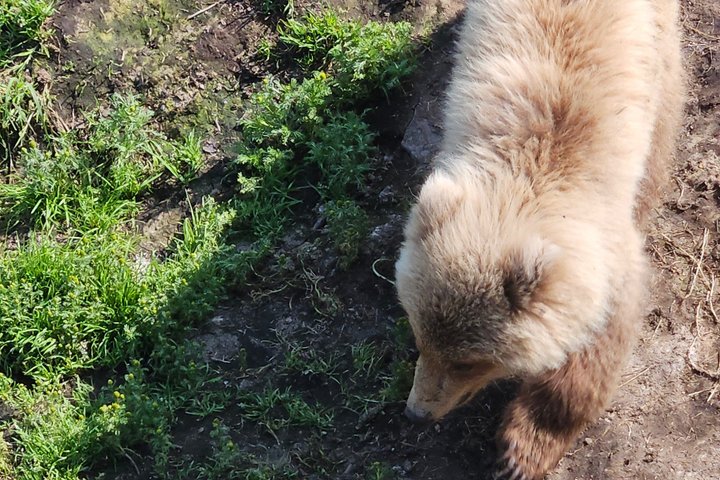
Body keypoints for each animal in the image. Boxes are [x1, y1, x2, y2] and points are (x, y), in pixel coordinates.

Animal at [394, 1, 684, 479]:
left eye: (468, 360)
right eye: (419, 336)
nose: (417, 412)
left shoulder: (607, 255)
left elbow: (594, 350)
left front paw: (522, 449)